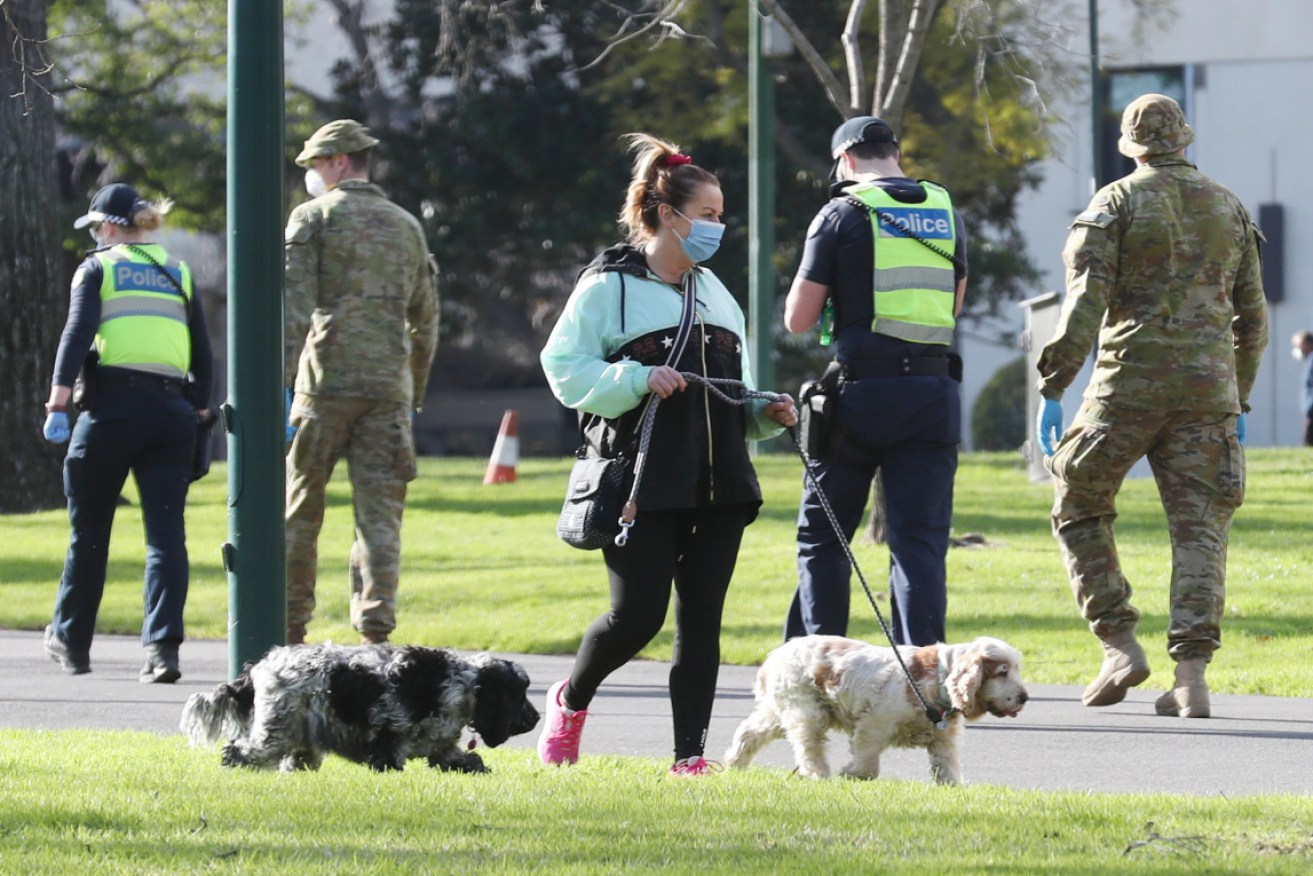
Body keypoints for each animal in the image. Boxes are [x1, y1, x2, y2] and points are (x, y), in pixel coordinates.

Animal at [181, 643, 538, 772]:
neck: (460, 684)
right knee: (238, 750)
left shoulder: (443, 749)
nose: (536, 718)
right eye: (521, 694)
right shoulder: (389, 739)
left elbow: (469, 760)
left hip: (297, 736)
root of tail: (260, 665)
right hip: (274, 731)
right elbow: (388, 761)